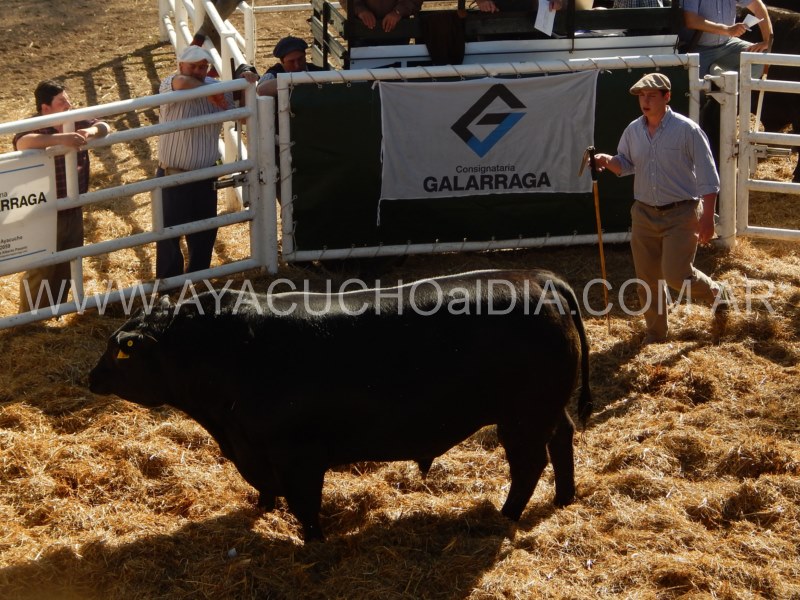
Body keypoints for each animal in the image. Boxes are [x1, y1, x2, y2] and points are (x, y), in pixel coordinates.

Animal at [89, 269, 592, 542]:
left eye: (118, 350)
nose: (91, 377)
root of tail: (541, 280)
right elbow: (267, 491)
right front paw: (261, 508)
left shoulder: (298, 455)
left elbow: (305, 505)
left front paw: (311, 542)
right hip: (546, 408)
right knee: (563, 438)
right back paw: (564, 498)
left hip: (522, 417)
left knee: (529, 465)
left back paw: (503, 516)